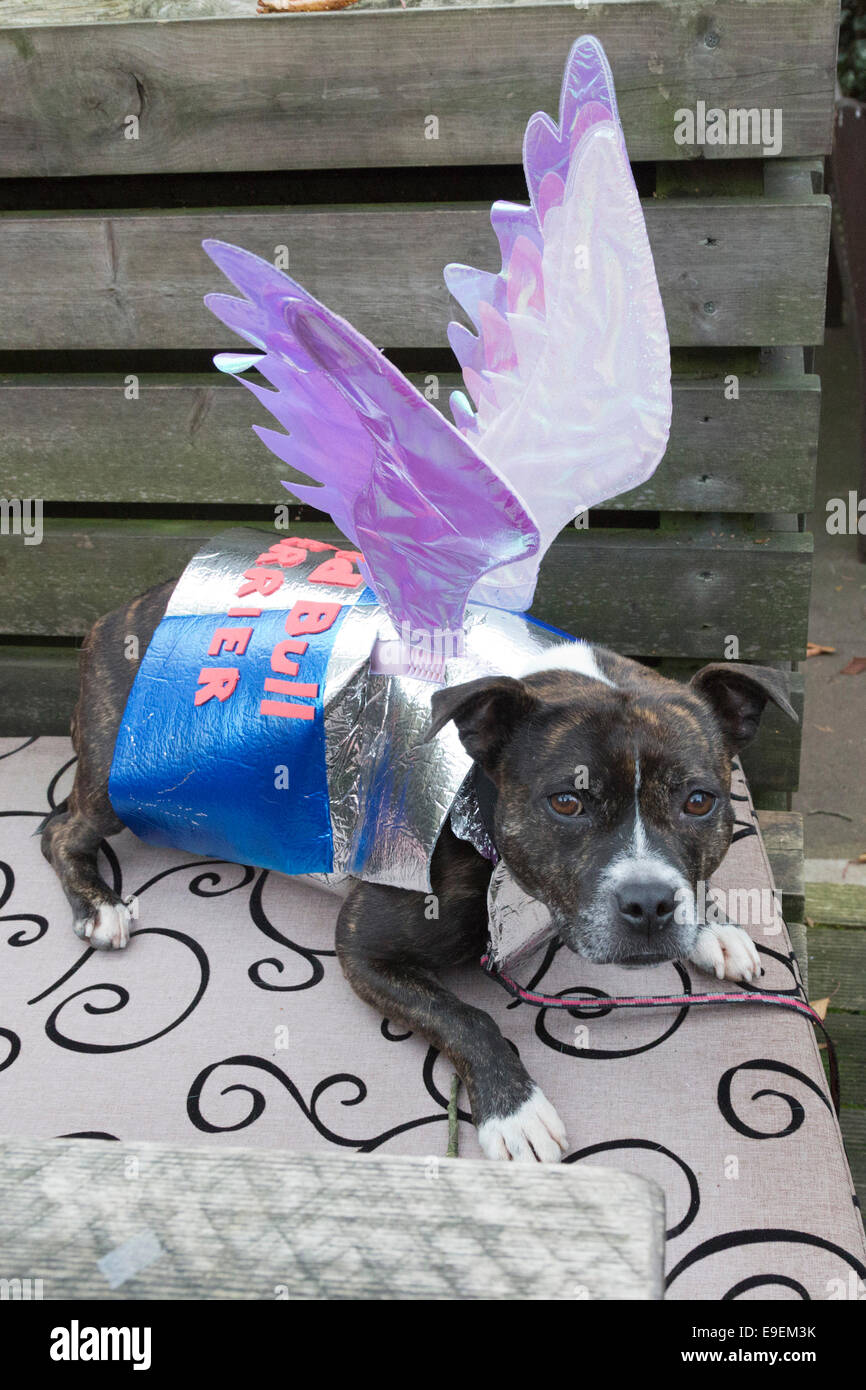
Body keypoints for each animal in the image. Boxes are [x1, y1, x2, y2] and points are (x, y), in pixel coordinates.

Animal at [42, 575, 800, 1162]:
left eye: (700, 800)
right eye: (567, 802)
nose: (649, 905)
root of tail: (125, 608)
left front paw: (714, 927)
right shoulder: (364, 949)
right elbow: (467, 1017)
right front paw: (515, 1110)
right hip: (115, 777)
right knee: (57, 828)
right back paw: (99, 905)